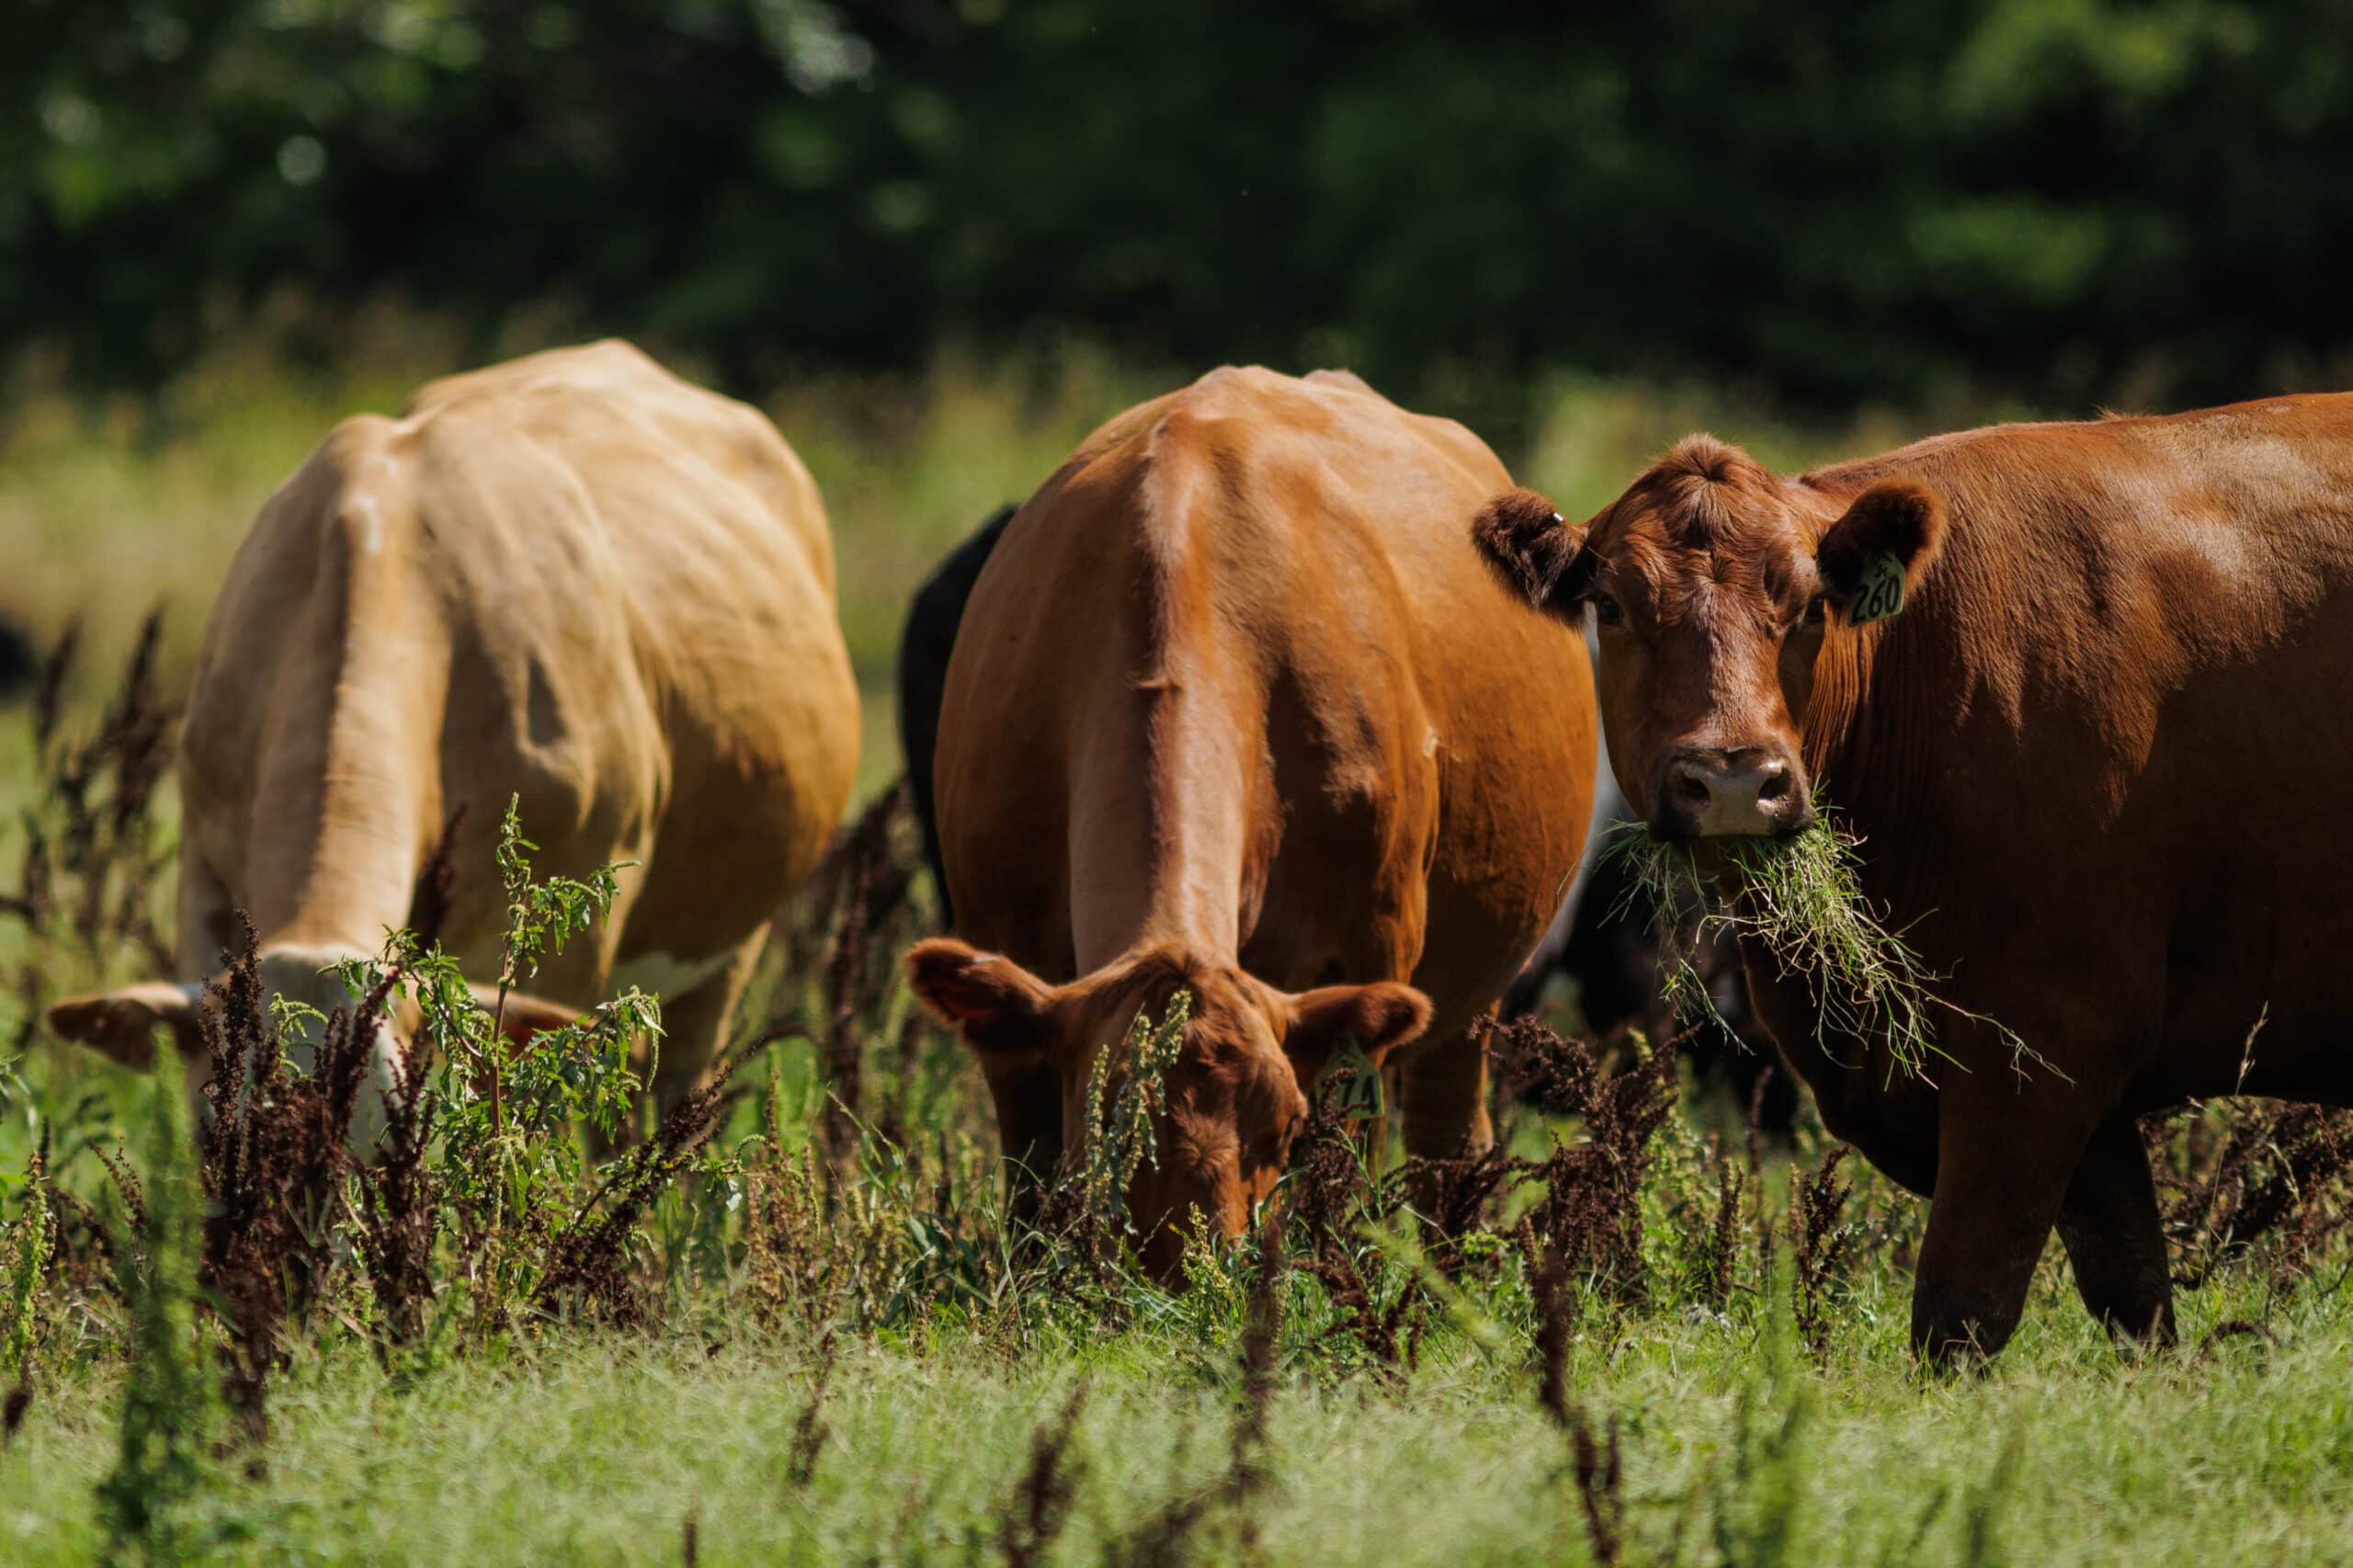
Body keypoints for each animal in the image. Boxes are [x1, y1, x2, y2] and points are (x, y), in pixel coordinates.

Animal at [902, 365, 1597, 1274]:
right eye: (1109, 1127)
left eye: (1285, 1124)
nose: (1193, 1278)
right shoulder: (1003, 967)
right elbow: (1029, 1192)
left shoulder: (1369, 954)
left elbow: (1343, 1191)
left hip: (1474, 994)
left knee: (1450, 1143)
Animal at [1471, 396, 2353, 1362]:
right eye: (1610, 604)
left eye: (1811, 604)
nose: (1735, 777)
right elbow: (2136, 1302)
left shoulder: (2041, 1051)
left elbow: (1961, 1312)